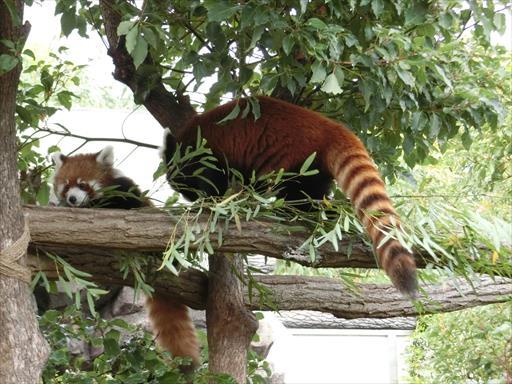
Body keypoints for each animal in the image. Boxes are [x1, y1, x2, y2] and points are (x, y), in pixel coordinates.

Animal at [164, 95, 420, 294]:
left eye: (184, 187)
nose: (188, 198)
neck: (189, 141)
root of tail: (331, 129)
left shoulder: (211, 153)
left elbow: (215, 181)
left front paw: (212, 201)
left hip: (298, 160)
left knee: (297, 194)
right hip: (314, 167)